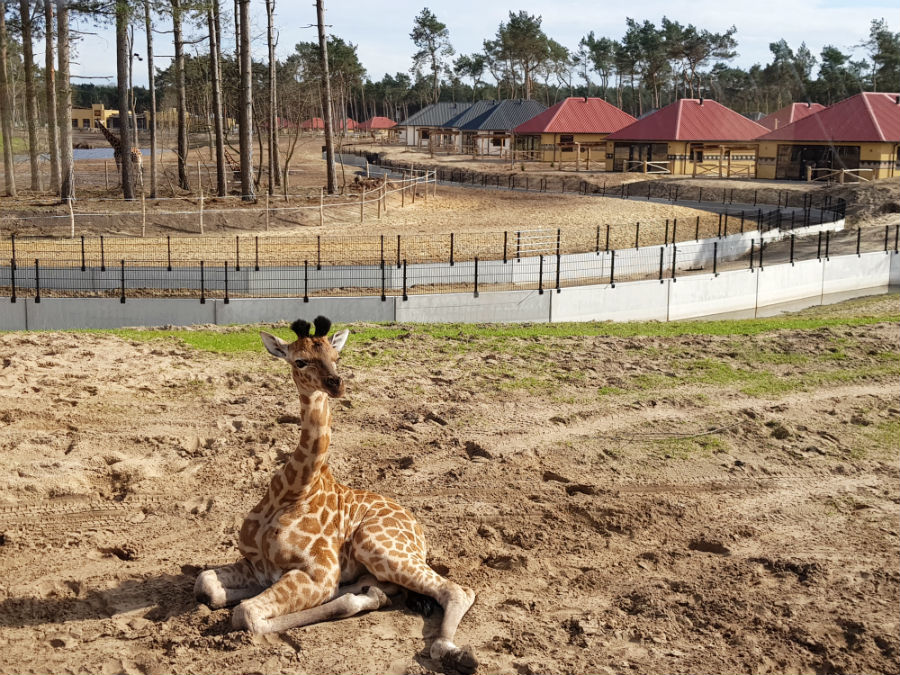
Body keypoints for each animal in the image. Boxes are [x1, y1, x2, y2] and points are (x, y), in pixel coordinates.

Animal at [194, 316, 478, 673]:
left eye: (336, 356)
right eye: (299, 361)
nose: (336, 384)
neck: (293, 490)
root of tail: (418, 528)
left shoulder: (321, 573)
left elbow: (246, 613)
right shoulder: (256, 565)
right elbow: (206, 584)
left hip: (377, 544)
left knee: (458, 589)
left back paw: (451, 649)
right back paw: (372, 594)